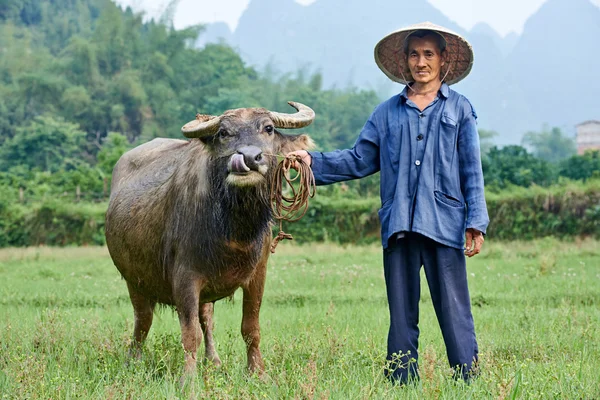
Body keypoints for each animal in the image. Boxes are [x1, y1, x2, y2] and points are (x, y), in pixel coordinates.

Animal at [105, 101, 316, 376]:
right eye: (224, 132)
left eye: (268, 128)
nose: (249, 157)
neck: (234, 228)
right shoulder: (185, 277)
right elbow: (189, 334)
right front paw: (188, 378)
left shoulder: (258, 274)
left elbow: (250, 329)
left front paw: (258, 372)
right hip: (134, 280)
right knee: (143, 320)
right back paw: (134, 361)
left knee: (206, 319)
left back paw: (213, 360)